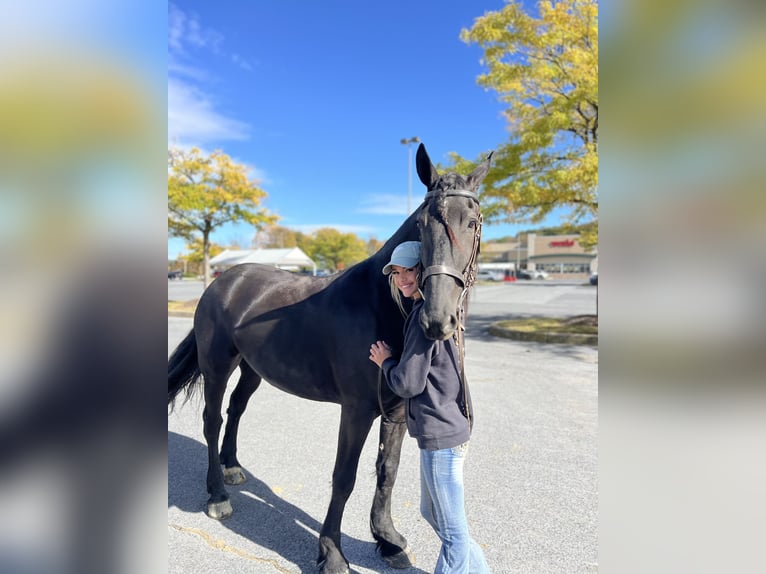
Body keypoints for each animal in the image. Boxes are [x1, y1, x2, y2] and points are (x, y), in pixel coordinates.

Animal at [168, 143, 493, 574]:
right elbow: (345, 476)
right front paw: (332, 553)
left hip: (253, 368)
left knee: (236, 409)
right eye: (422, 225)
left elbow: (387, 470)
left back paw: (232, 466)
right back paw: (218, 495)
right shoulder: (356, 409)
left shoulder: (395, 409)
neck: (379, 304)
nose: (437, 320)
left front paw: (387, 540)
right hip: (217, 364)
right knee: (212, 419)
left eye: (472, 223)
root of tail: (222, 282)